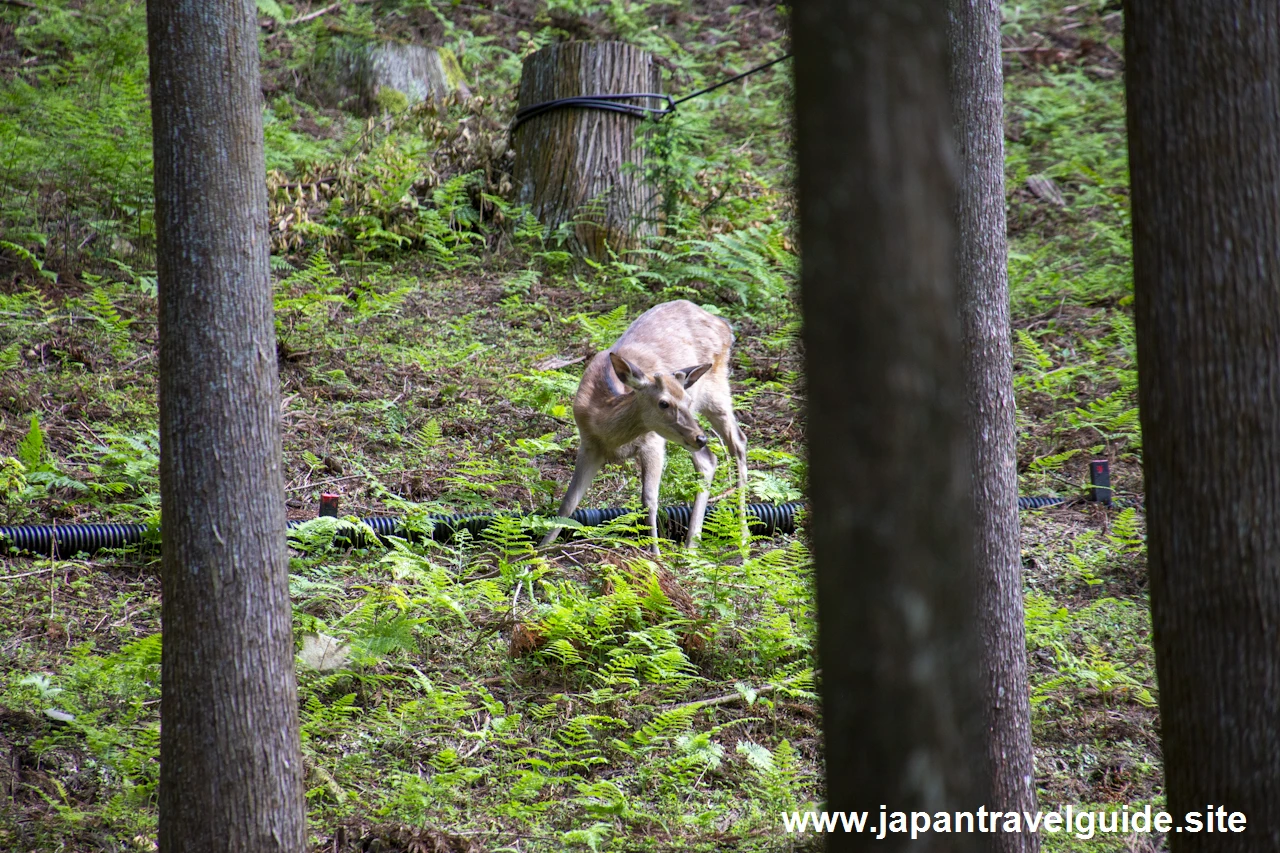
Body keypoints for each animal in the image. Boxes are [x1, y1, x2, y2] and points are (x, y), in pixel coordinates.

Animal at [540, 298, 747, 550]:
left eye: (687, 401)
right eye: (663, 403)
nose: (701, 437)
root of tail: (725, 325)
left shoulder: (653, 442)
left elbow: (648, 499)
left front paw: (654, 553)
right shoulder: (589, 444)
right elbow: (569, 500)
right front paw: (541, 548)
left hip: (715, 393)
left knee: (737, 442)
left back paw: (742, 537)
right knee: (709, 458)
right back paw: (692, 544)